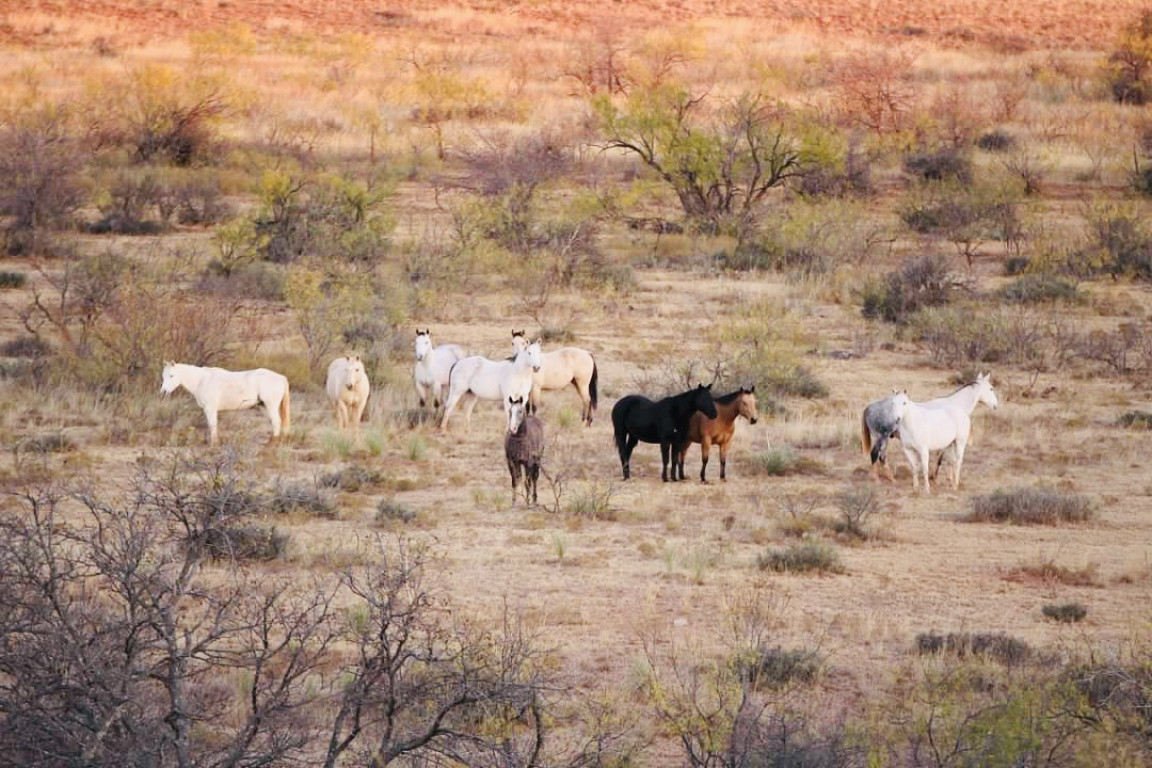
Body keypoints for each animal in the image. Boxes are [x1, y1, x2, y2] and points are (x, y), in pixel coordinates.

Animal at [160, 362, 290, 446]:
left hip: (270, 405)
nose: (164, 391)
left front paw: (214, 444)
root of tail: (280, 377)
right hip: (263, 407)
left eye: (171, 375)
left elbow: (213, 425)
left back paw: (273, 443)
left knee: (276, 421)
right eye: (163, 376)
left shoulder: (210, 409)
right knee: (274, 422)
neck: (202, 380)